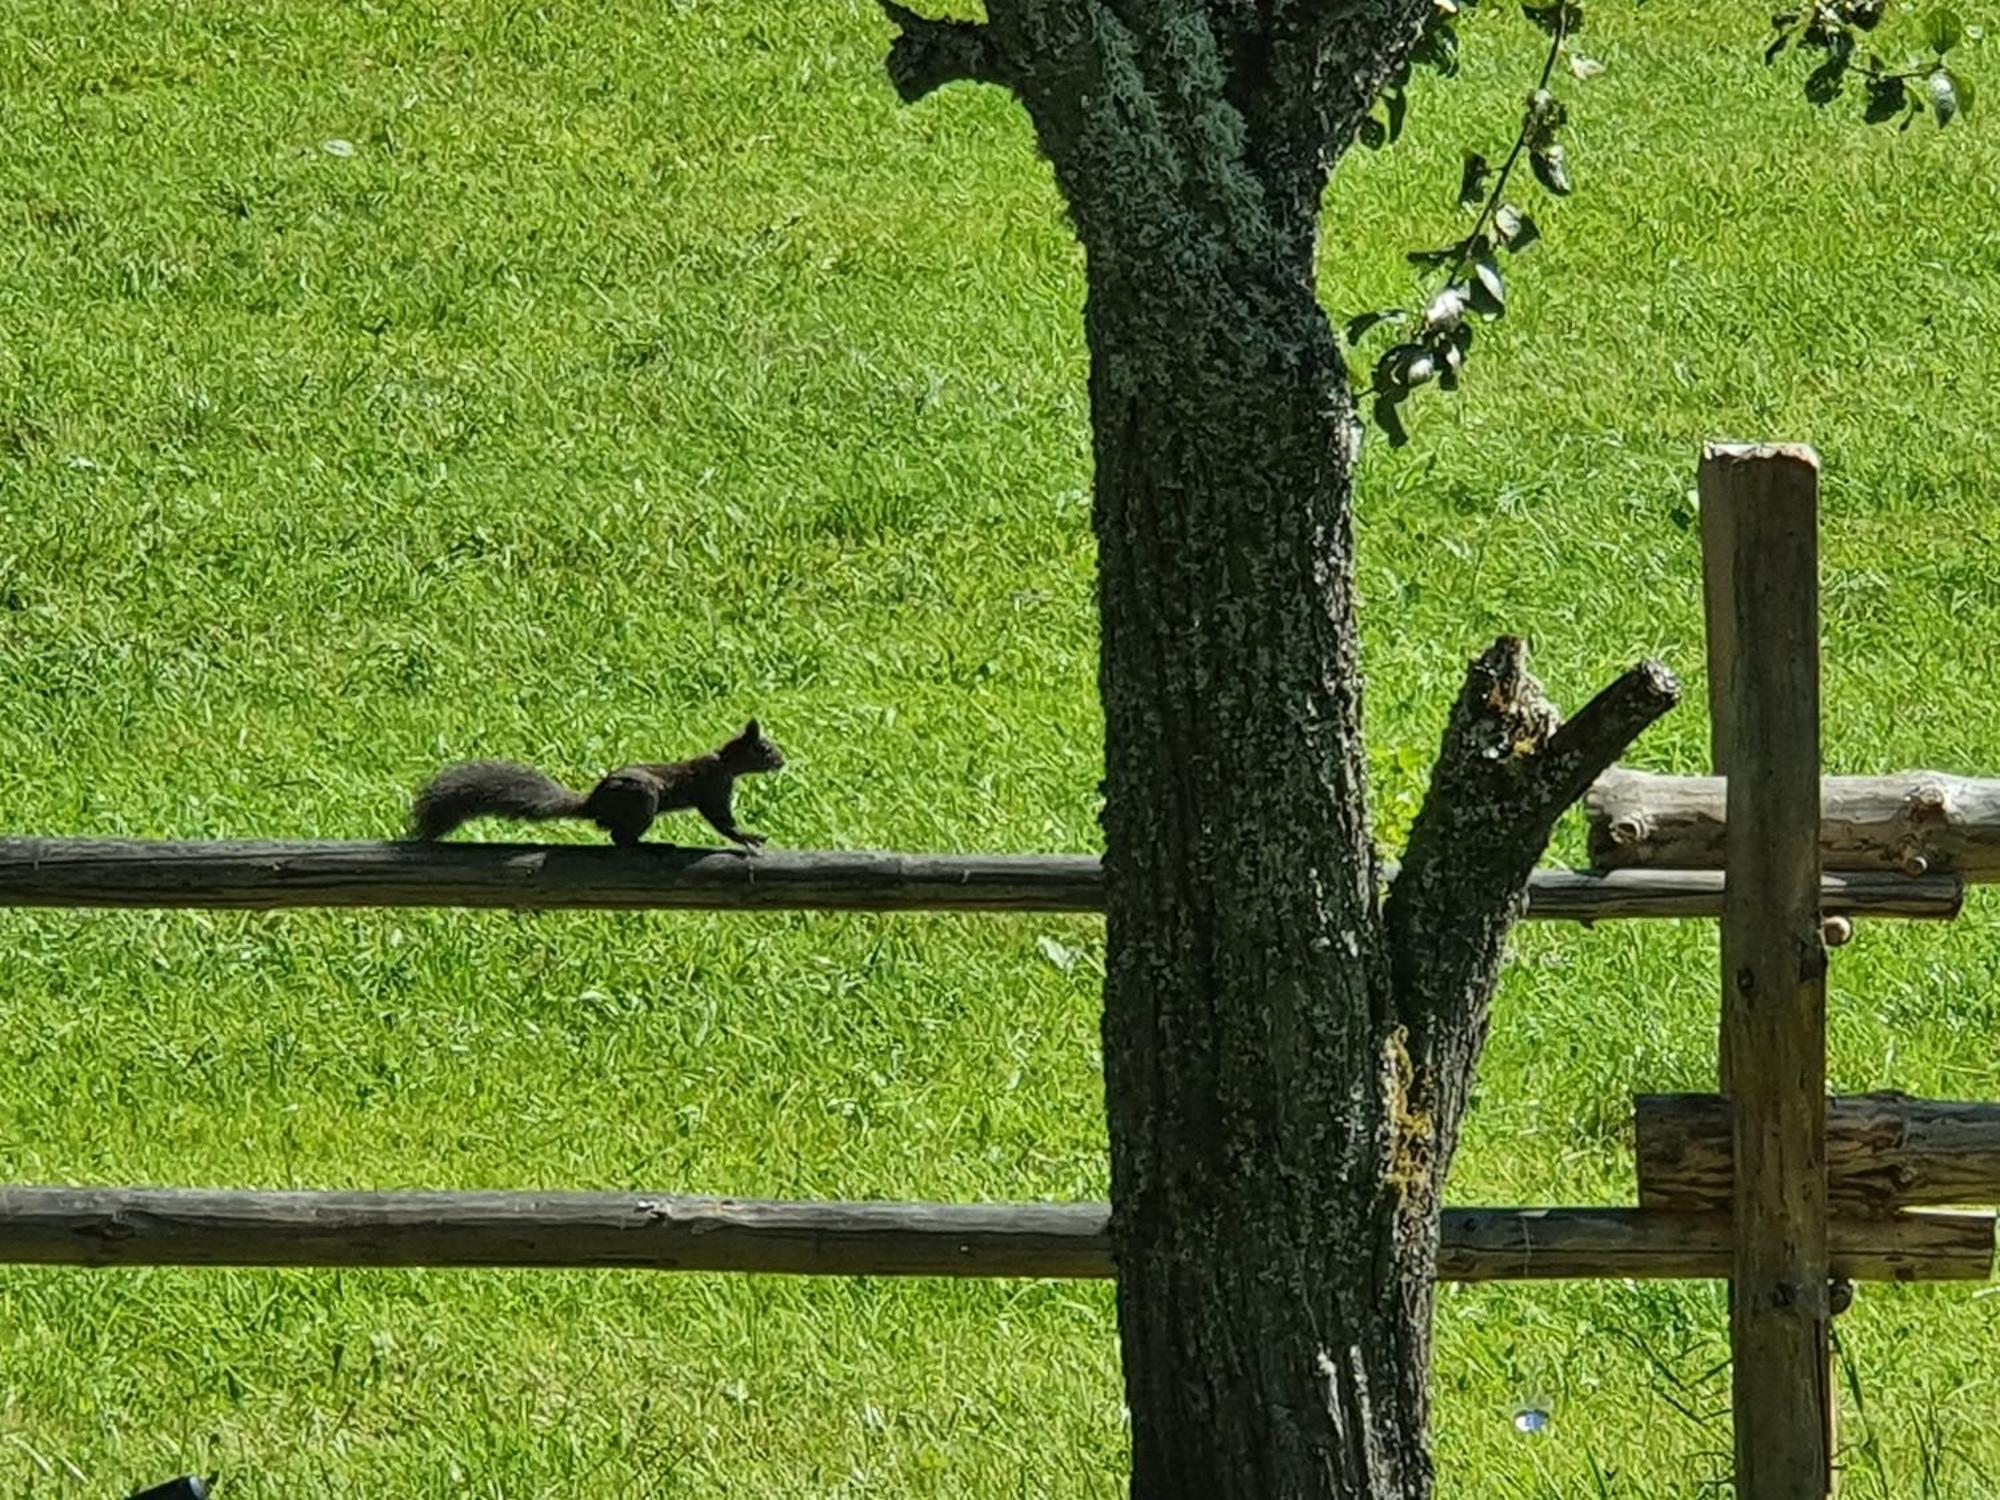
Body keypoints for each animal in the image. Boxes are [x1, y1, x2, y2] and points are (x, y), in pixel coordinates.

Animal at [404, 724, 780, 852]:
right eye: (764, 749)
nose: (782, 761)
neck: (725, 763)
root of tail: (594, 803)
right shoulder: (712, 787)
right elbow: (721, 821)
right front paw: (746, 837)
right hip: (643, 799)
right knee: (619, 838)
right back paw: (651, 845)